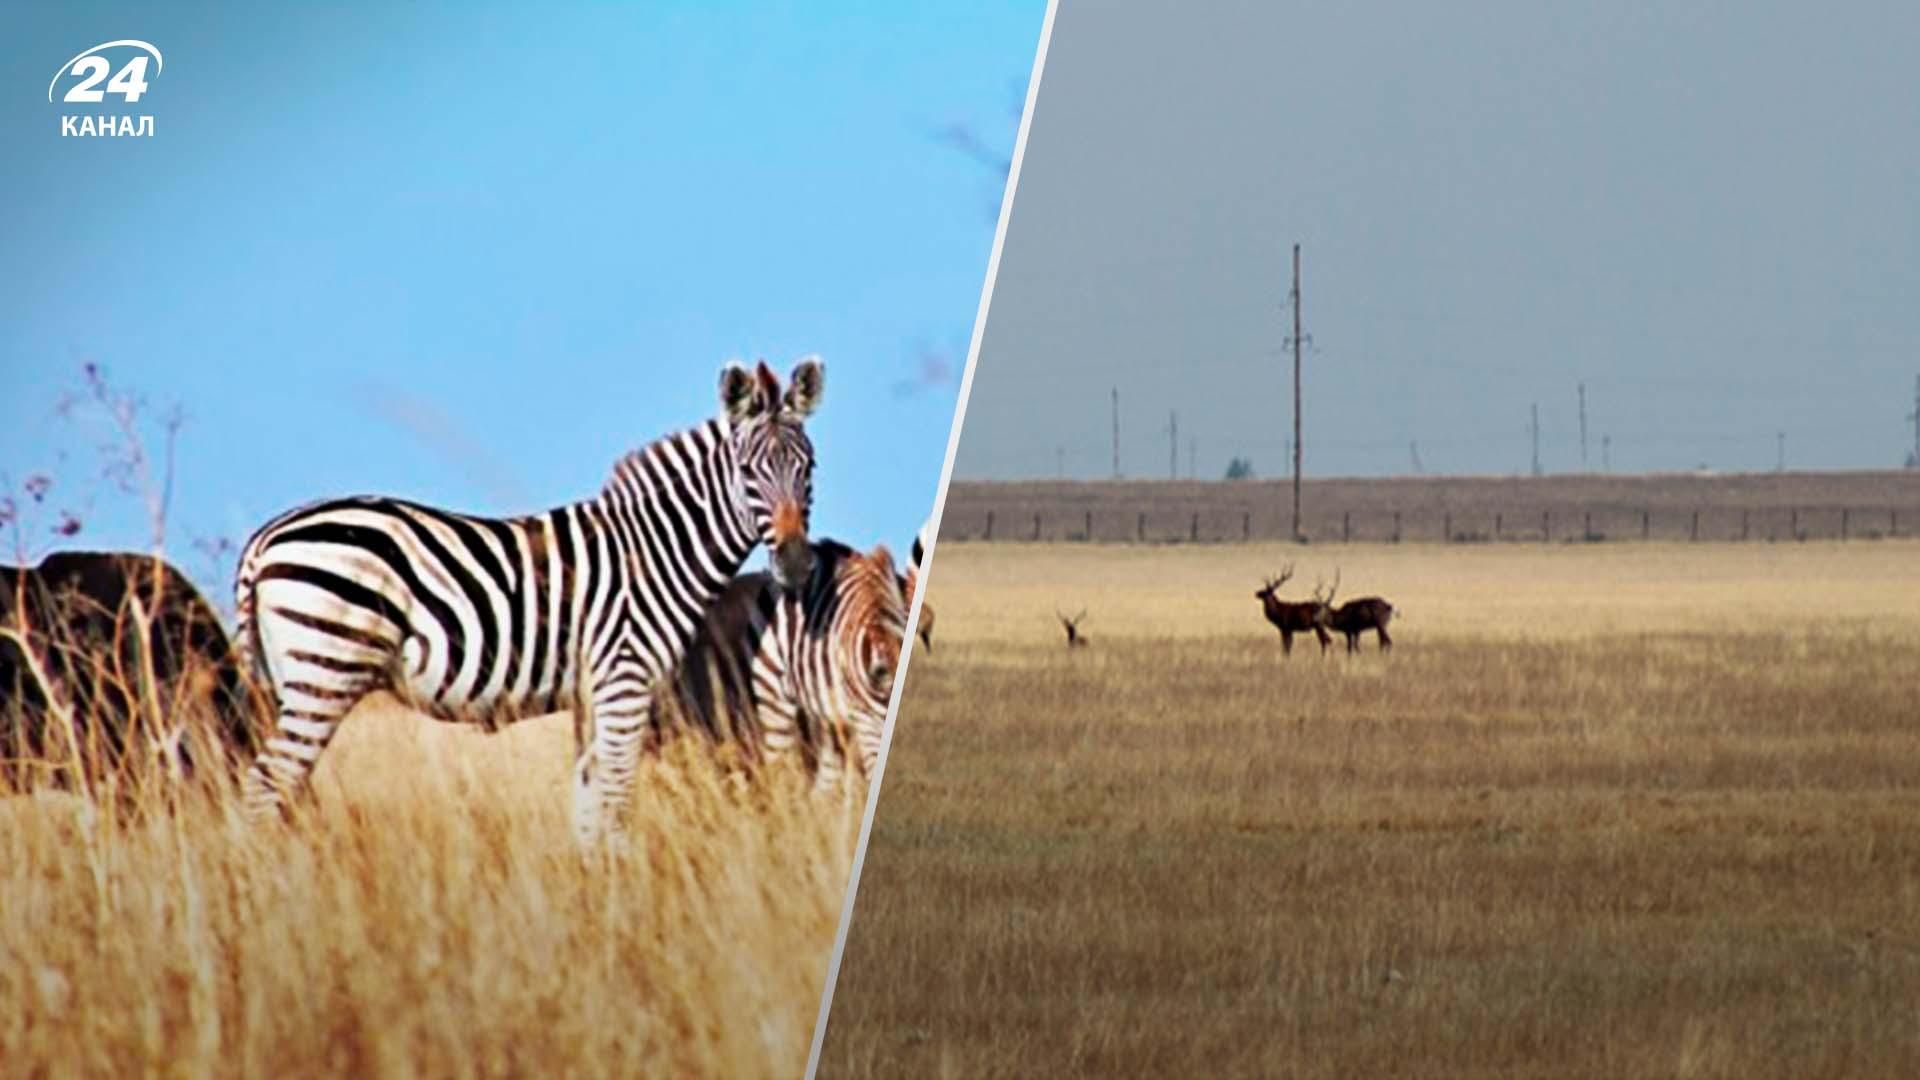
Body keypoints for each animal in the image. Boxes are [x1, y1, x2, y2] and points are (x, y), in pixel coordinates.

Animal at [234, 357, 825, 837]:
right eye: (747, 471)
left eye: (809, 467)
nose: (797, 563)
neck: (655, 548)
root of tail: (264, 539)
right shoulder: (624, 678)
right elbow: (615, 799)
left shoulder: (594, 692)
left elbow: (588, 803)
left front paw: (596, 891)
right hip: (327, 668)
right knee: (264, 788)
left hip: (294, 677)